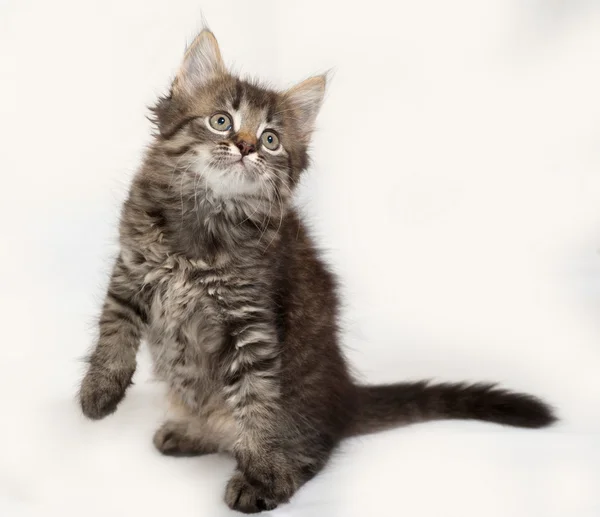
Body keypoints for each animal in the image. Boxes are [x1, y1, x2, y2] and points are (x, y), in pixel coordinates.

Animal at [79, 29, 556, 512]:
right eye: (221, 121)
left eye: (271, 139)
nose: (246, 146)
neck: (207, 218)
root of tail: (345, 396)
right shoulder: (131, 271)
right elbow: (113, 333)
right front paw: (98, 394)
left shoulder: (250, 320)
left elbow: (257, 400)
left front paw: (263, 468)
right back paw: (191, 432)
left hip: (303, 404)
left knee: (310, 451)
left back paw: (267, 478)